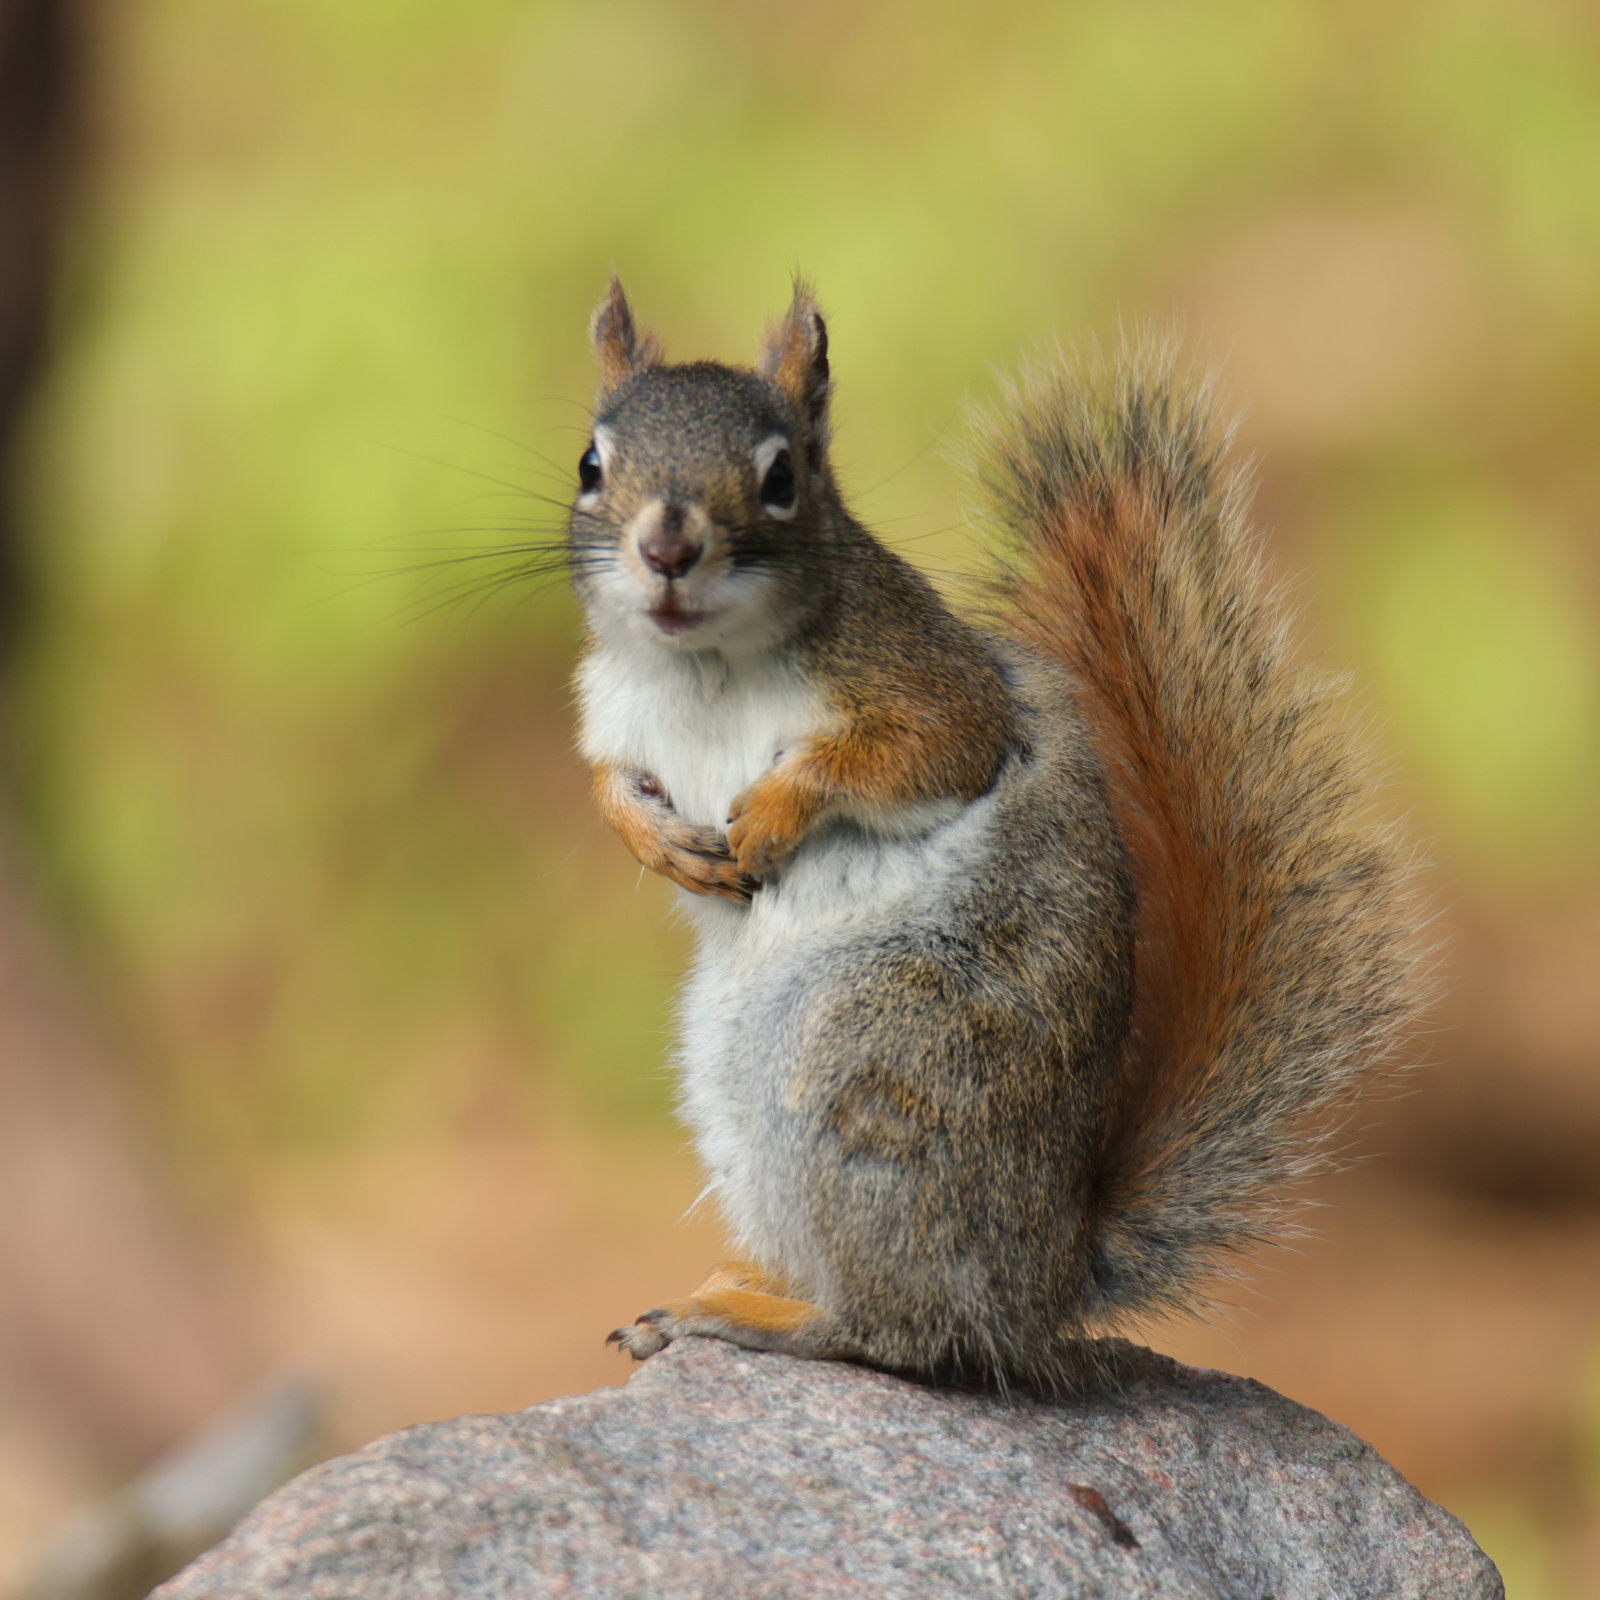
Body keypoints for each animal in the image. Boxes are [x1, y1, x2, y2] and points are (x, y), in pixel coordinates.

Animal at [567, 278, 1421, 1390]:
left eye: (783, 475)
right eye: (590, 463)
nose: (666, 550)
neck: (698, 665)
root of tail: (1042, 1283)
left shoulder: (931, 687)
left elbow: (906, 759)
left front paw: (770, 816)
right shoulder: (615, 714)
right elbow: (607, 786)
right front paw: (653, 840)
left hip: (872, 1072)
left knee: (901, 1330)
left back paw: (755, 1315)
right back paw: (742, 1283)